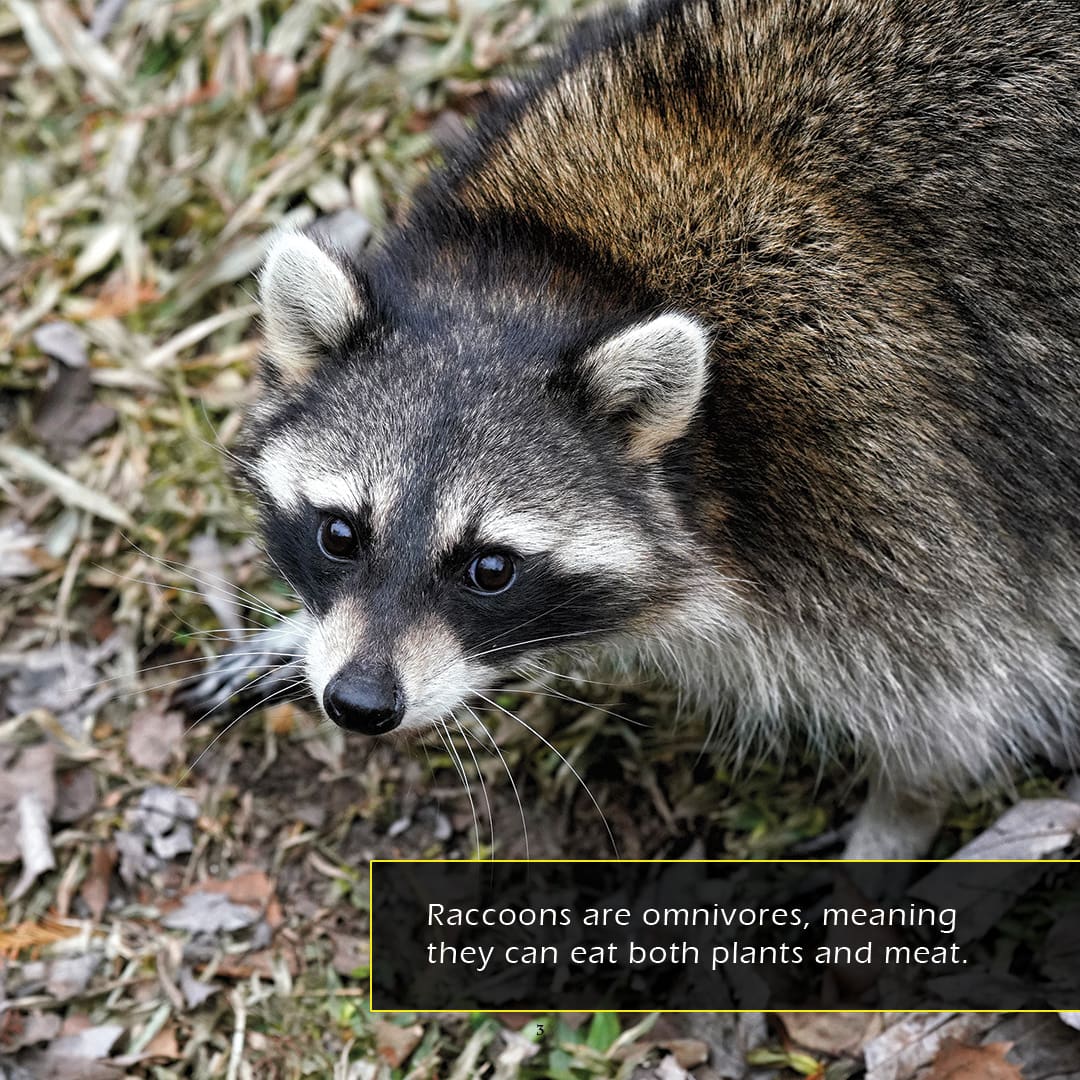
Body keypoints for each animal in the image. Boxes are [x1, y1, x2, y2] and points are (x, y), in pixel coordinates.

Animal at [192, 0, 1080, 857]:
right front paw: (299, 629)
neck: (568, 271)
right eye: (340, 533)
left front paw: (894, 827)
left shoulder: (884, 467)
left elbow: (960, 693)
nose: (359, 703)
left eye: (490, 568)